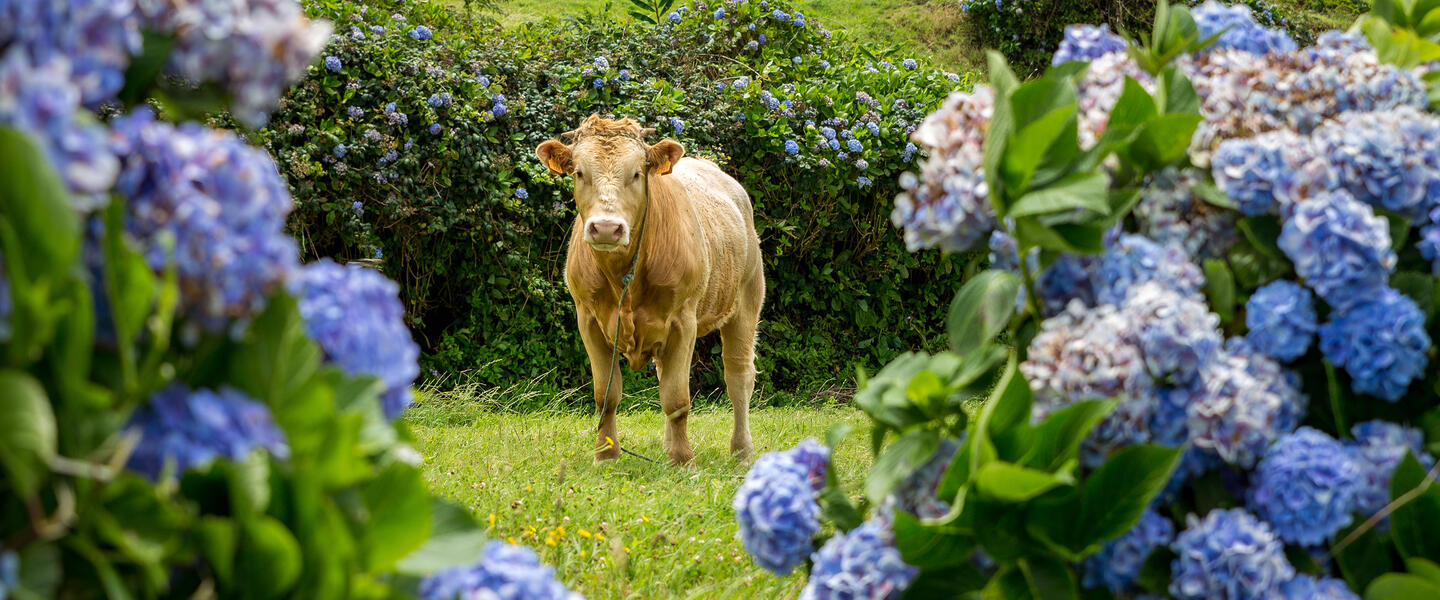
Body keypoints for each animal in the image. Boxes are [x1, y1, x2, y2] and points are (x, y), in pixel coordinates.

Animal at [535, 115, 766, 463]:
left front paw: (683, 460)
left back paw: (741, 451)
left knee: (738, 376)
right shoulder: (587, 319)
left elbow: (677, 398)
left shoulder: (683, 321)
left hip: (747, 301)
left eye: (636, 173)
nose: (606, 228)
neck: (624, 277)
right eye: (579, 172)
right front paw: (606, 456)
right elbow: (606, 395)